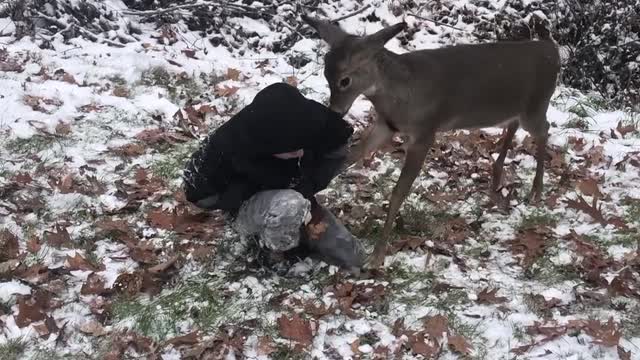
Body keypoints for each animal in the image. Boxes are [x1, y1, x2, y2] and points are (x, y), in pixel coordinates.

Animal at [302, 14, 564, 268]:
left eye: (345, 80)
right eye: (325, 74)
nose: (335, 111)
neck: (402, 93)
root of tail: (553, 51)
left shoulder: (425, 133)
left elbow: (398, 192)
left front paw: (377, 257)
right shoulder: (387, 125)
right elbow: (351, 156)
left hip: (536, 106)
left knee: (544, 129)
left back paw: (536, 191)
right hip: (517, 109)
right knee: (513, 125)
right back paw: (497, 177)